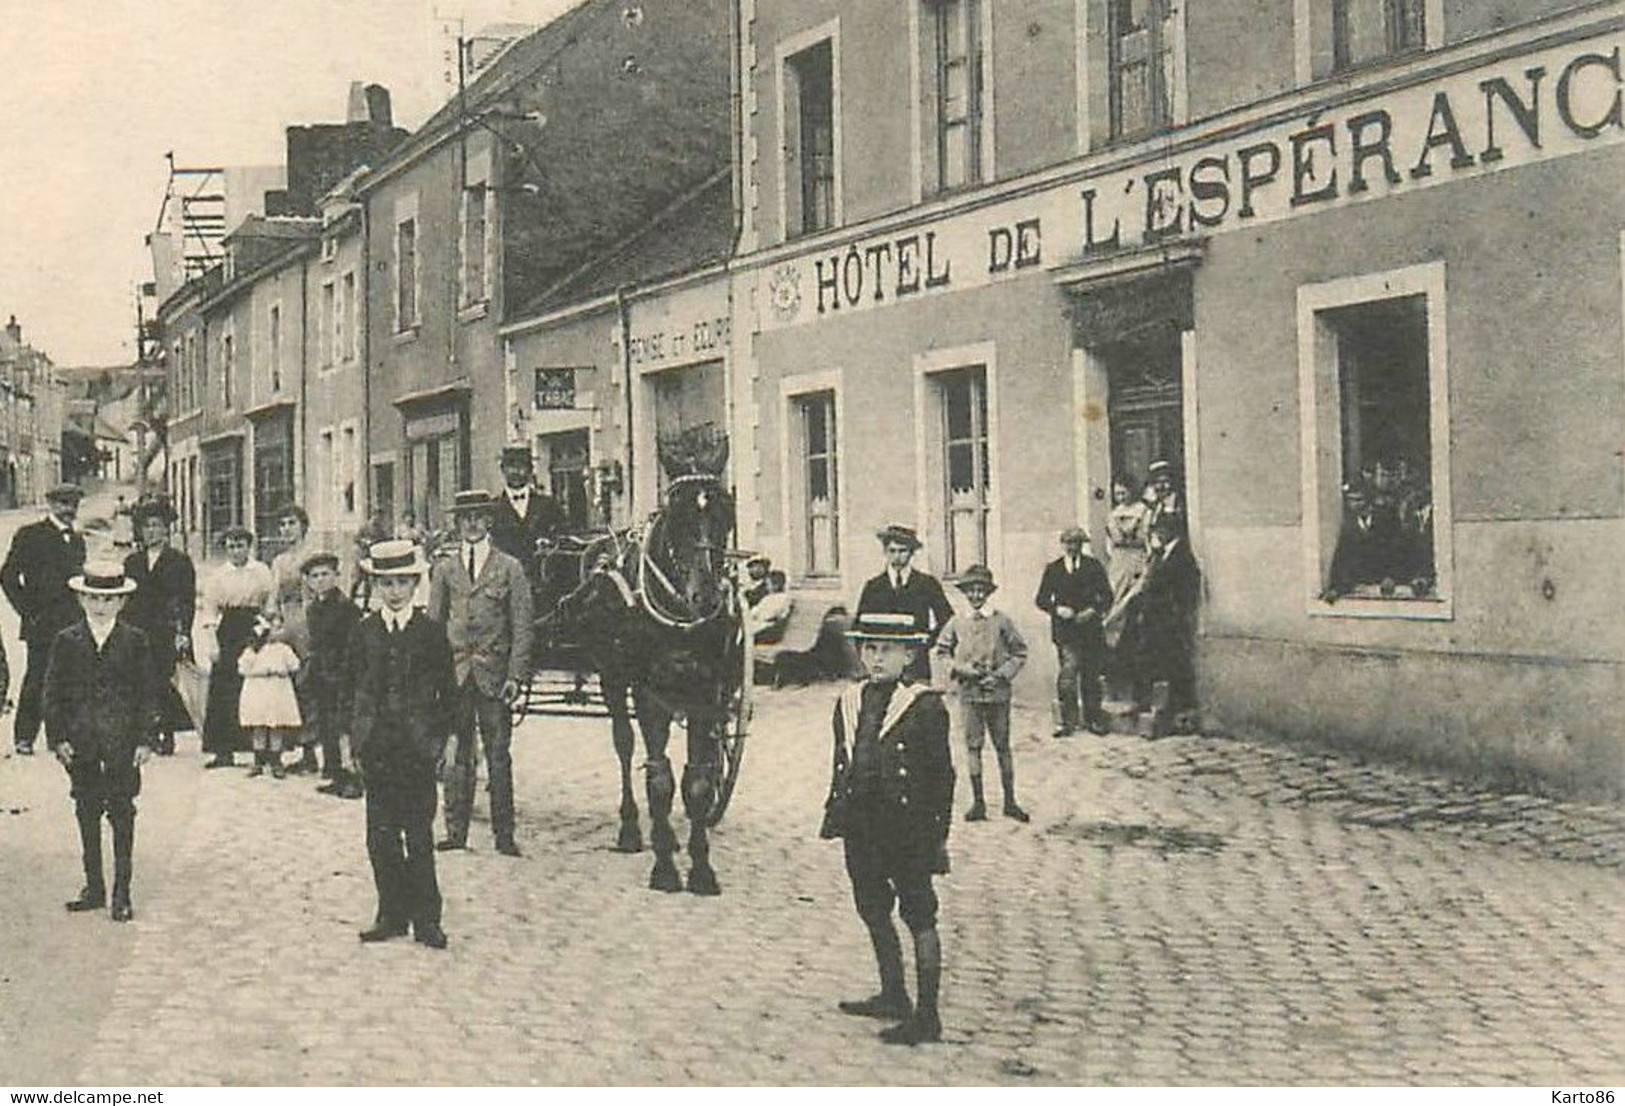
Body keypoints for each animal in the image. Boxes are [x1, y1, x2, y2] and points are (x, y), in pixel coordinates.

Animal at [542, 470, 744, 889]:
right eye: (678, 519)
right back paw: (633, 829)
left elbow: (697, 782)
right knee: (624, 744)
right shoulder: (650, 696)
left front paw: (701, 869)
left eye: (725, 518)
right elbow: (660, 779)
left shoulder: (706, 694)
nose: (705, 597)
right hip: (613, 678)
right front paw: (664, 868)